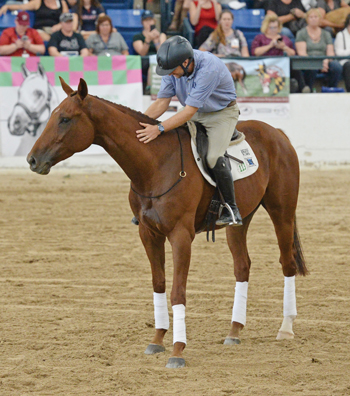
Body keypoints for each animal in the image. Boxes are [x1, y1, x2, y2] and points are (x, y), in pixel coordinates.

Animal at [27, 77, 306, 368]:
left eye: (65, 119)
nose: (32, 159)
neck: (155, 163)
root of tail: (277, 132)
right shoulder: (149, 234)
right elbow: (159, 284)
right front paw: (158, 339)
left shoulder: (180, 236)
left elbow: (177, 291)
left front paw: (177, 350)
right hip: (239, 222)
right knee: (242, 267)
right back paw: (234, 330)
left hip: (282, 212)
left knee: (287, 263)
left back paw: (286, 328)